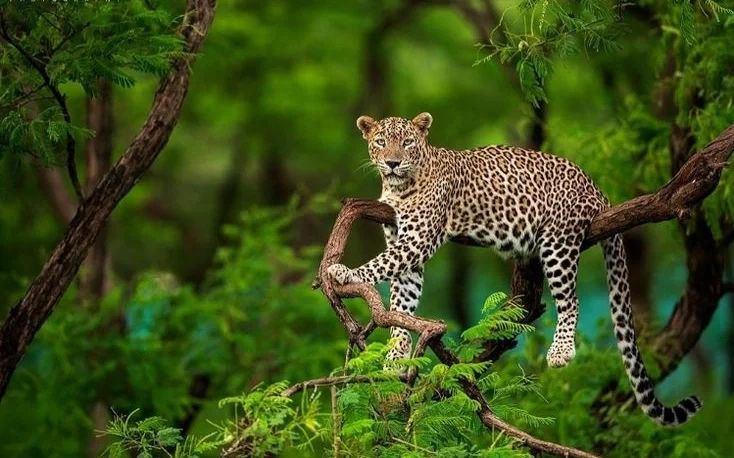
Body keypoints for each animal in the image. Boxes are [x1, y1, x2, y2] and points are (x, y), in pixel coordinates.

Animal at [326, 112, 702, 426]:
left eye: (406, 142)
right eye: (380, 141)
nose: (392, 162)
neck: (400, 186)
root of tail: (595, 187)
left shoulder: (418, 240)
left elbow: (381, 264)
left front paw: (345, 273)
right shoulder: (405, 248)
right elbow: (402, 304)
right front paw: (395, 358)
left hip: (559, 241)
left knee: (571, 299)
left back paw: (561, 351)